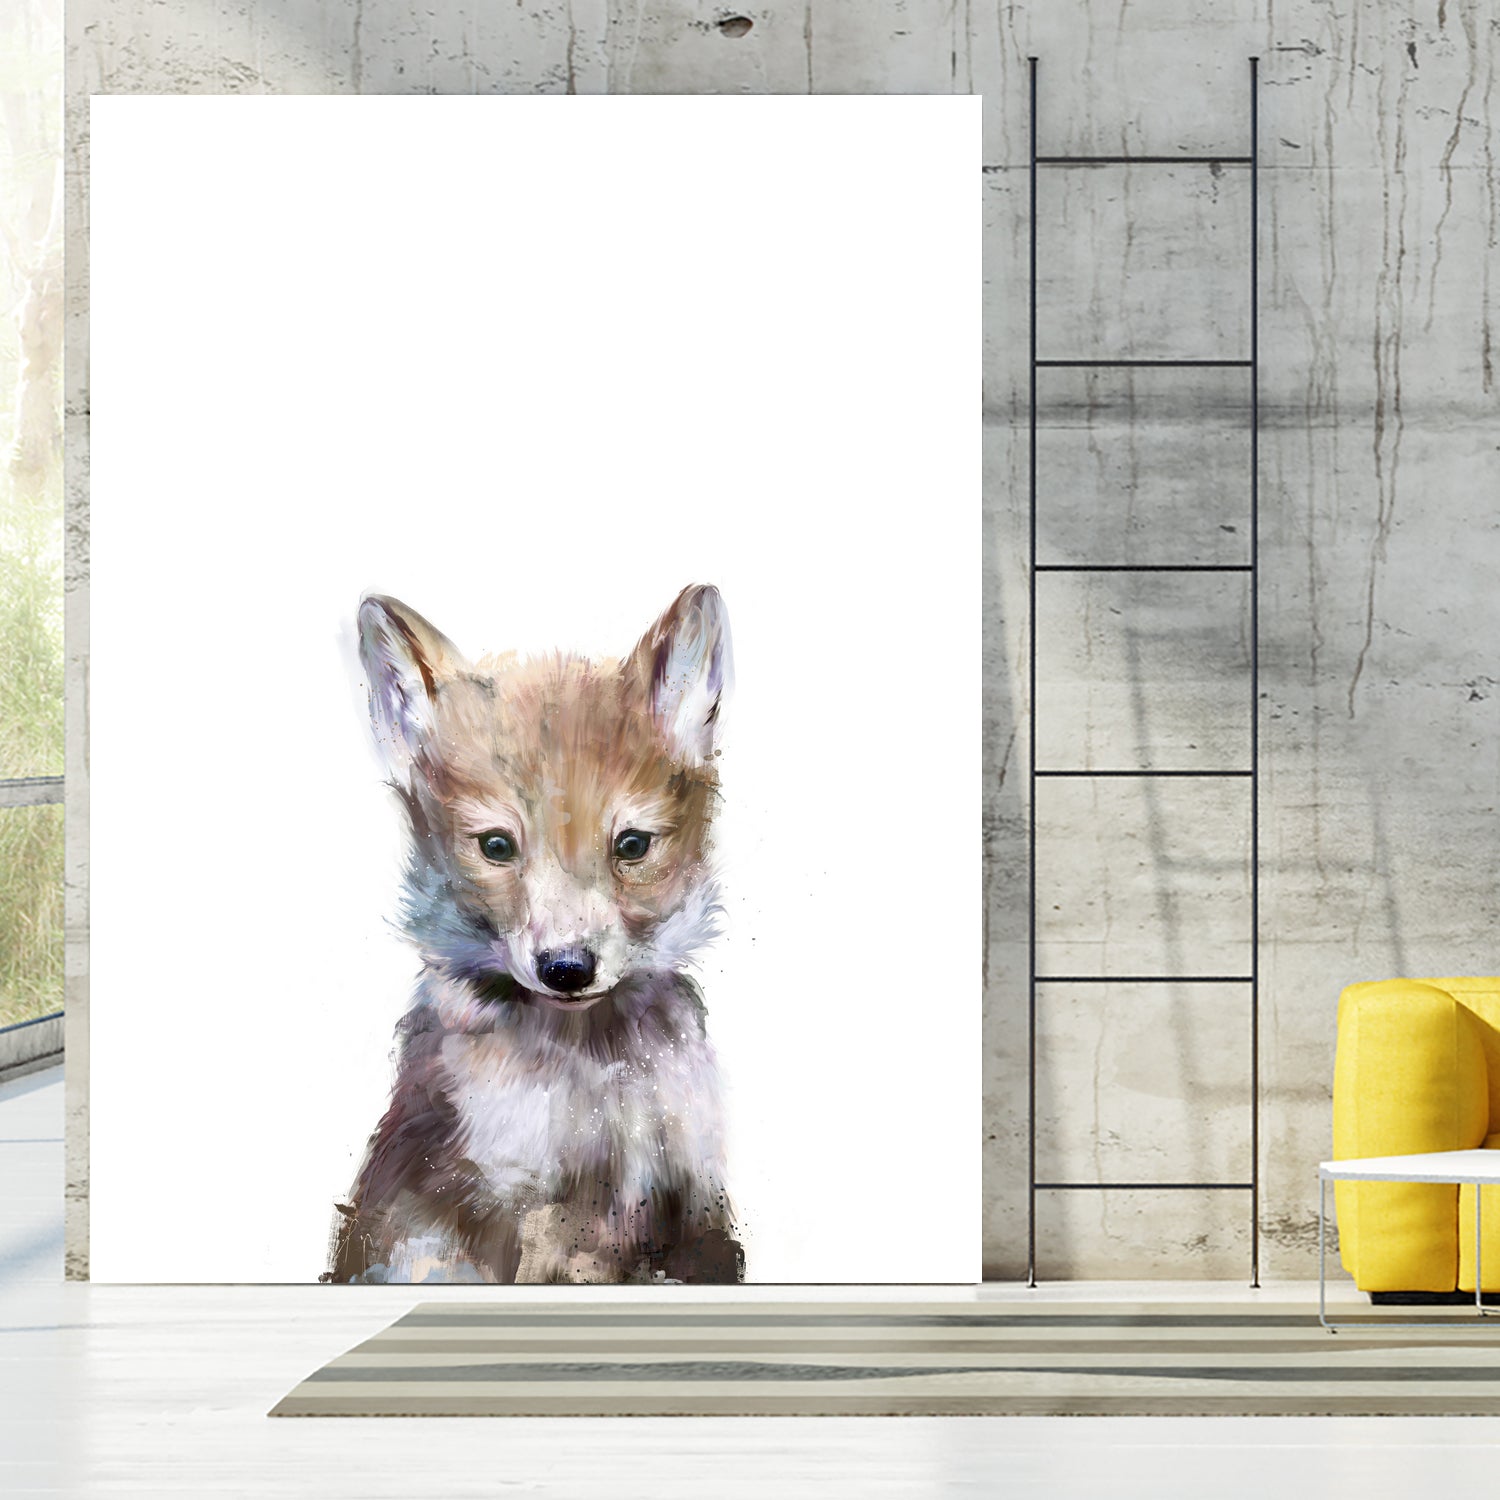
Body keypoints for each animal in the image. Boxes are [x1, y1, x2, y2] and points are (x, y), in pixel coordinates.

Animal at [326, 585, 743, 1285]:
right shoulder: (519, 1210)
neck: (594, 1077)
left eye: (632, 845)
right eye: (497, 846)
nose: (567, 969)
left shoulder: (693, 1202)